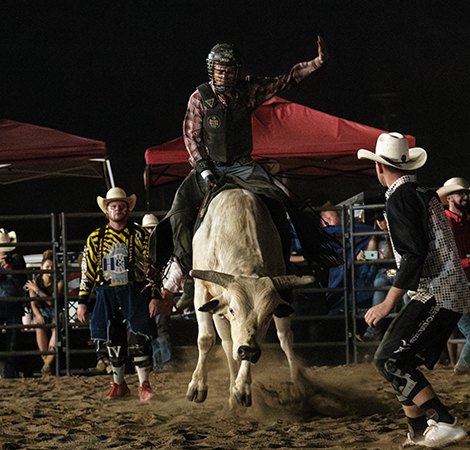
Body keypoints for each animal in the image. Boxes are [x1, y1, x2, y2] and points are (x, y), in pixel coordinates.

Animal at [185, 188, 314, 406]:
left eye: (268, 314)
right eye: (232, 309)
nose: (249, 351)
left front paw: (242, 388)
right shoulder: (202, 289)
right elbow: (206, 338)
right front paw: (198, 385)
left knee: (285, 337)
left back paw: (298, 383)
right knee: (228, 344)